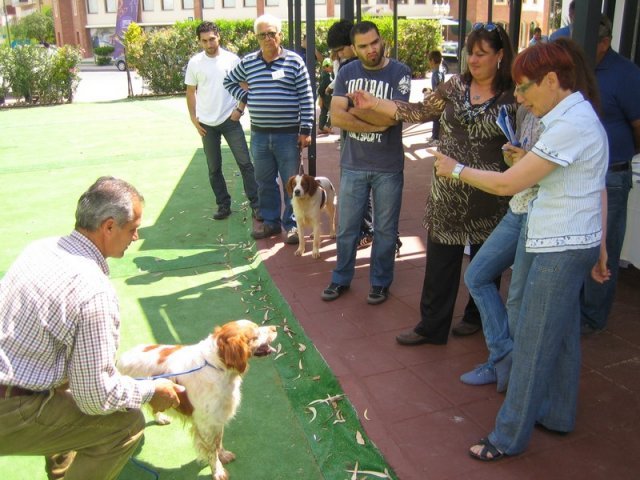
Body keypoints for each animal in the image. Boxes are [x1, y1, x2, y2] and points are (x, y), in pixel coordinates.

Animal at [117, 318, 278, 480]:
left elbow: (218, 442)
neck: (217, 365)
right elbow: (212, 451)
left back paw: (161, 419)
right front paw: (218, 471)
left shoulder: (217, 417)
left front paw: (224, 456)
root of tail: (119, 360)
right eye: (255, 334)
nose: (275, 328)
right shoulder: (206, 424)